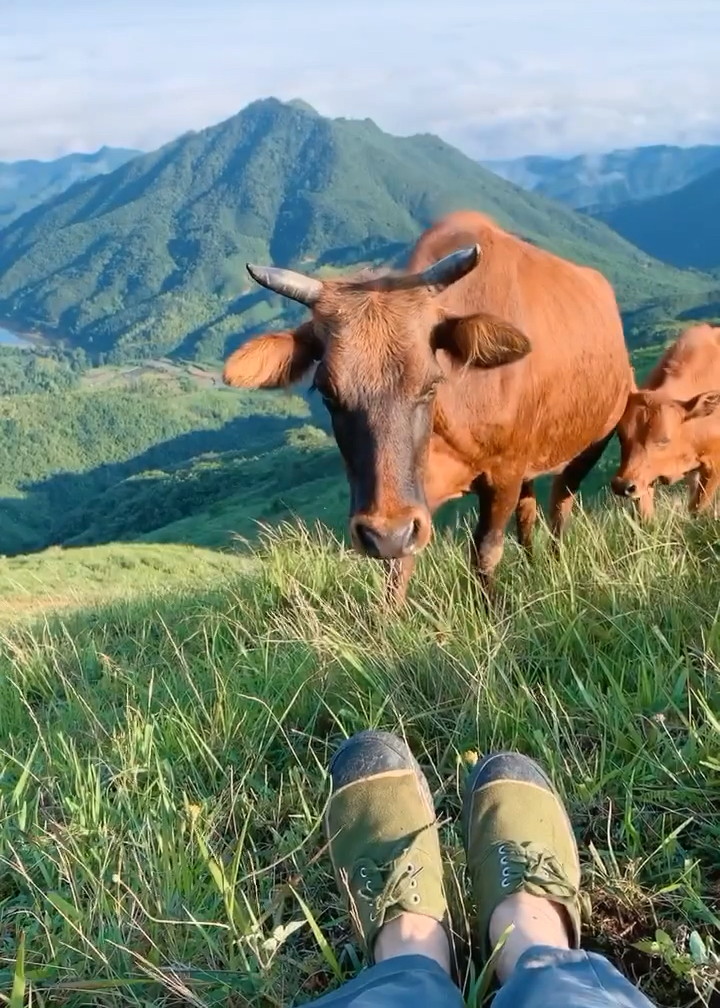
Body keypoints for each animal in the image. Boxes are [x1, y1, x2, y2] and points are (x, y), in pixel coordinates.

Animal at [222, 205, 629, 596]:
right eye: (325, 391)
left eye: (432, 383)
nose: (385, 534)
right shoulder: (410, 503)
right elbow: (396, 572)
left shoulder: (504, 472)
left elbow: (486, 552)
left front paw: (495, 610)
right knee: (528, 514)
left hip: (590, 442)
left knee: (560, 504)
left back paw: (555, 564)